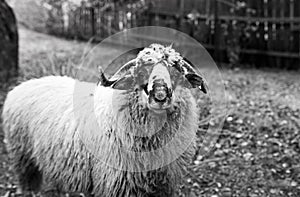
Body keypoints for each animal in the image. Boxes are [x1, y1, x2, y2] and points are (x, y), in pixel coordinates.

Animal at [1, 43, 209, 196]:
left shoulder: (163, 186)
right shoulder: (115, 183)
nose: (160, 95)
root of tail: (24, 84)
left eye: (177, 71)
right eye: (140, 71)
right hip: (22, 156)